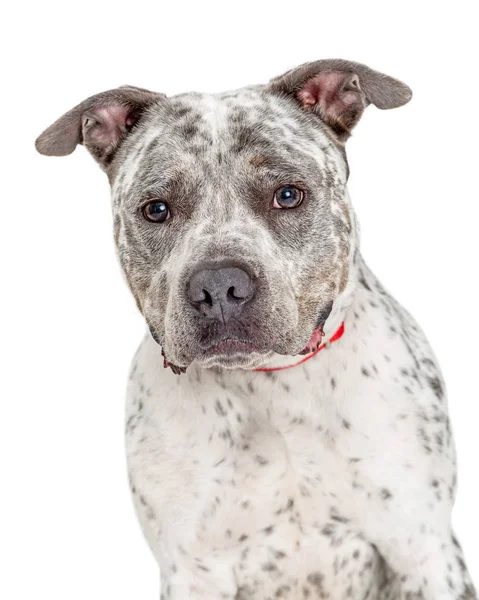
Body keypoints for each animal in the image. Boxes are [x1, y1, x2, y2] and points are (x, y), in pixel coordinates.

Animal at [34, 59, 476, 600]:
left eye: (288, 196)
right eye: (156, 209)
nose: (219, 286)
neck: (271, 386)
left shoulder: (424, 550)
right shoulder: (194, 570)